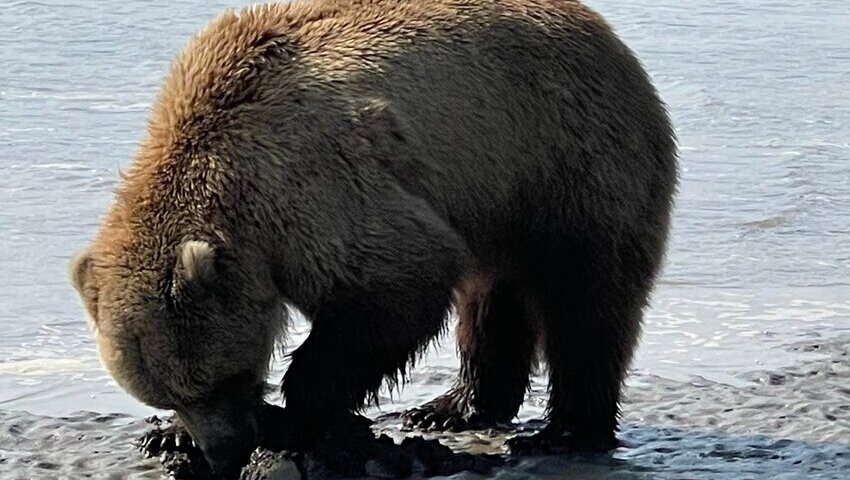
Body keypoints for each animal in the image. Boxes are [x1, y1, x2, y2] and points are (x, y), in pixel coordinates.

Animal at [68, 0, 676, 476]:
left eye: (219, 380)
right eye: (170, 392)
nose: (224, 453)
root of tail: (607, 34)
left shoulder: (309, 187)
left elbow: (394, 285)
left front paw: (293, 414)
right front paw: (166, 434)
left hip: (569, 161)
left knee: (585, 302)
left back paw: (566, 430)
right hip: (497, 195)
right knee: (492, 300)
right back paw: (453, 405)